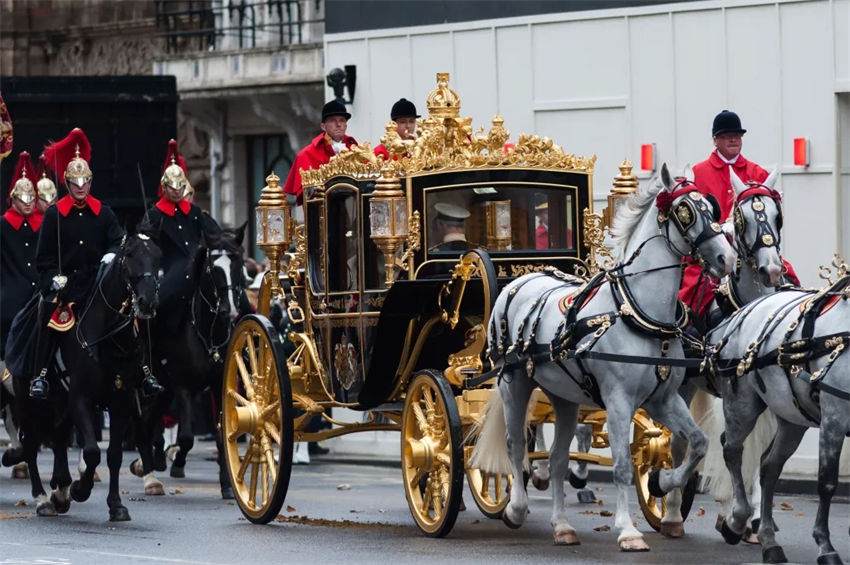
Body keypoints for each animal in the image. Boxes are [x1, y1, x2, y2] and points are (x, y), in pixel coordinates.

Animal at [3, 234, 161, 520]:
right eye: (129, 255)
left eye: (158, 256)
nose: (148, 303)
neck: (108, 338)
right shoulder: (81, 400)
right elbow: (91, 452)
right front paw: (80, 489)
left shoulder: (122, 403)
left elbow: (113, 455)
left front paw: (115, 504)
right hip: (28, 402)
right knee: (31, 446)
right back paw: (42, 498)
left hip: (59, 404)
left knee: (58, 438)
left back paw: (60, 491)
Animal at [131, 225, 247, 498]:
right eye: (213, 268)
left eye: (238, 263)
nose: (229, 311)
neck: (207, 333)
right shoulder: (182, 385)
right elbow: (185, 437)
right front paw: (177, 463)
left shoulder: (219, 384)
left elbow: (221, 435)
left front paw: (227, 484)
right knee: (144, 422)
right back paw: (149, 472)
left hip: (163, 390)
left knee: (150, 421)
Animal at [470, 164, 736, 552]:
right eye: (685, 210)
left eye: (711, 207)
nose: (726, 259)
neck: (637, 313)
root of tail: (520, 281)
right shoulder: (618, 401)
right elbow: (623, 464)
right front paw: (627, 530)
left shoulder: (664, 399)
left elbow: (697, 444)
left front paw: (660, 482)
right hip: (513, 382)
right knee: (515, 445)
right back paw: (516, 509)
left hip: (563, 397)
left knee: (558, 459)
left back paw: (562, 526)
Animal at [708, 266, 848, 564]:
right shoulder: (835, 416)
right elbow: (827, 482)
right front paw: (825, 546)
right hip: (741, 403)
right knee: (732, 450)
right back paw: (737, 520)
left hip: (792, 417)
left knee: (769, 466)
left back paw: (768, 539)